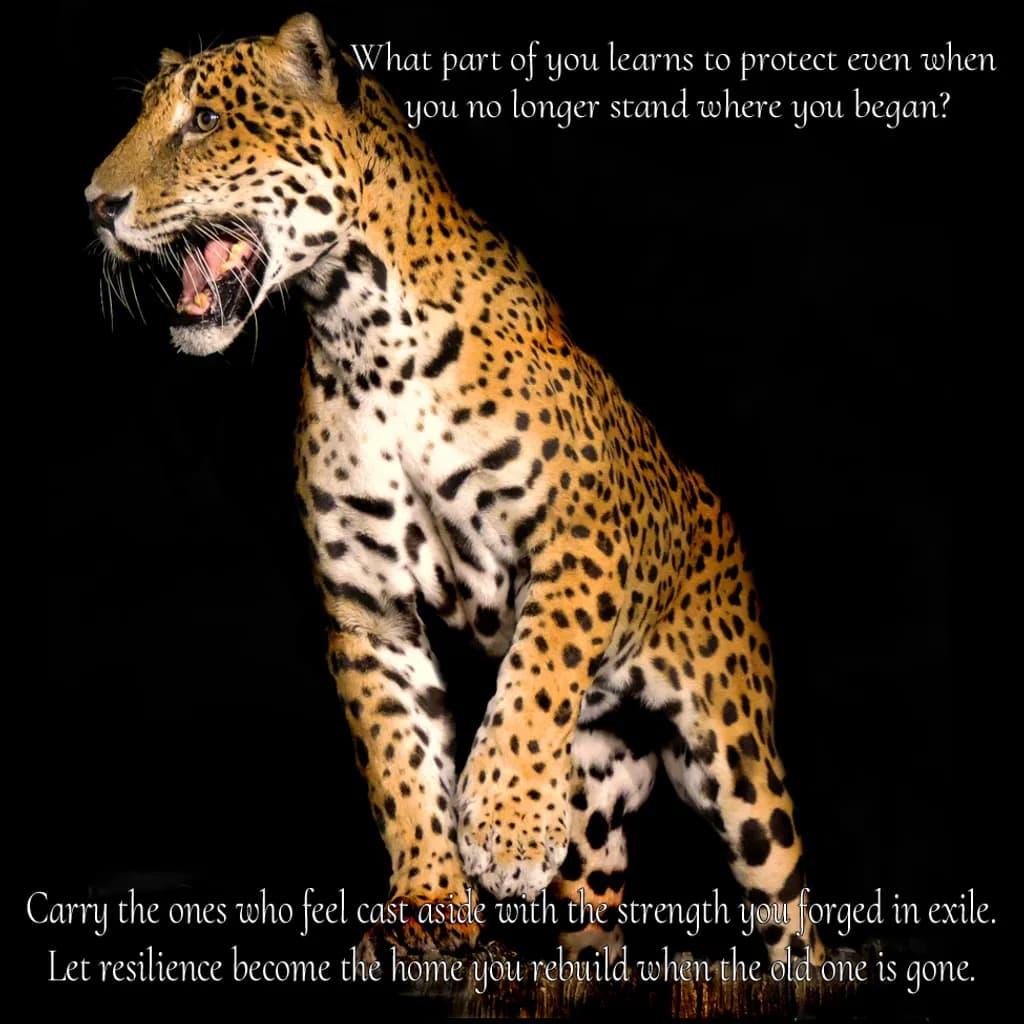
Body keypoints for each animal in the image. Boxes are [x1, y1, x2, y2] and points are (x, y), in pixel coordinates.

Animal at [86, 13, 826, 966]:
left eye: (205, 121)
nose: (95, 204)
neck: (358, 326)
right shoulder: (367, 605)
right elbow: (399, 763)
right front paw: (432, 904)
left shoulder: (581, 536)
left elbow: (537, 668)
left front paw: (504, 822)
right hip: (596, 808)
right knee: (594, 922)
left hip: (740, 766)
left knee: (789, 911)